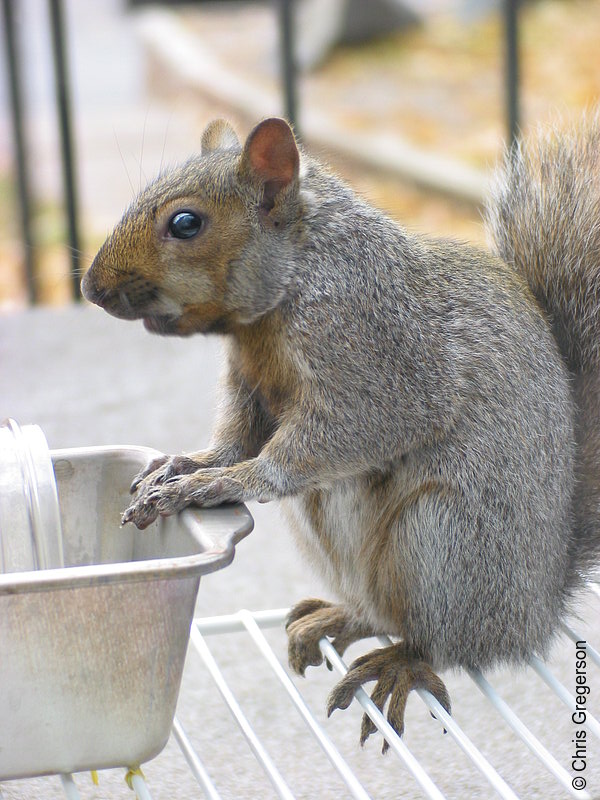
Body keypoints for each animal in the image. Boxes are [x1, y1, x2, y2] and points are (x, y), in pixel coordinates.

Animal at [81, 114, 600, 752]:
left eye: (185, 223)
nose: (91, 287)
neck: (291, 282)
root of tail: (537, 612)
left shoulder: (378, 356)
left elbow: (320, 443)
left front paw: (216, 484)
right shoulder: (250, 382)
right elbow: (234, 437)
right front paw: (189, 465)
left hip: (444, 539)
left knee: (439, 641)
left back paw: (400, 664)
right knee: (381, 611)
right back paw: (340, 619)